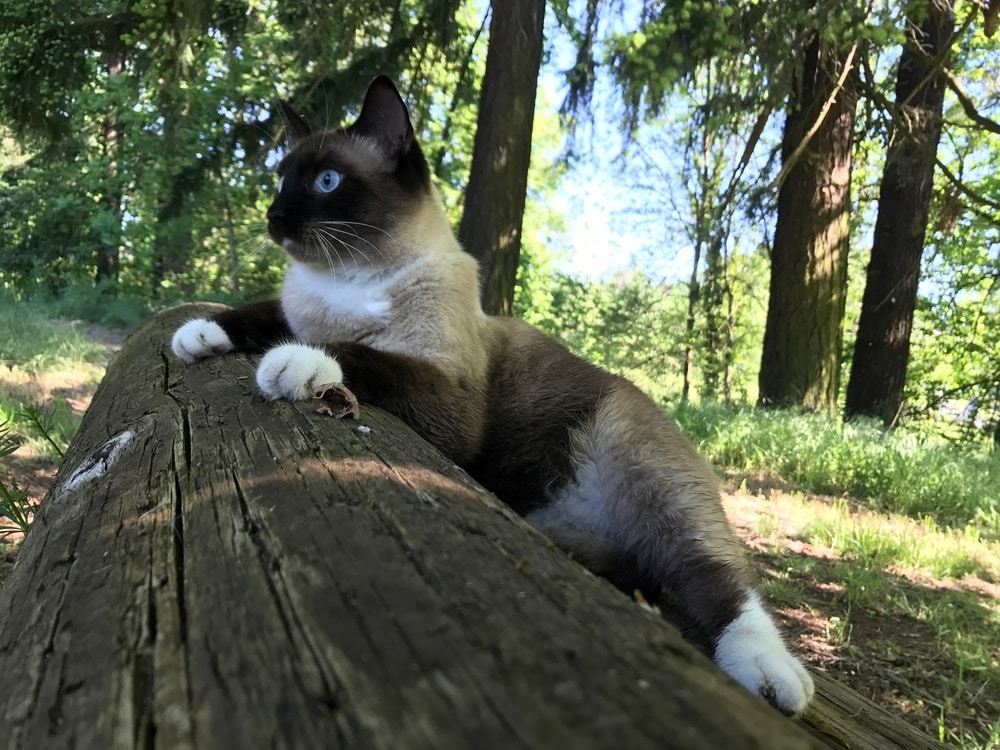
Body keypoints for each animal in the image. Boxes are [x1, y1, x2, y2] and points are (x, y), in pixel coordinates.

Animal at [172, 75, 812, 716]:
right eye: (283, 178)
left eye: (327, 181)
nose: (274, 215)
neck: (348, 285)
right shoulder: (293, 310)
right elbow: (264, 314)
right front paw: (198, 335)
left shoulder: (450, 400)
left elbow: (351, 351)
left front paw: (294, 362)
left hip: (642, 464)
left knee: (719, 579)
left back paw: (772, 676)